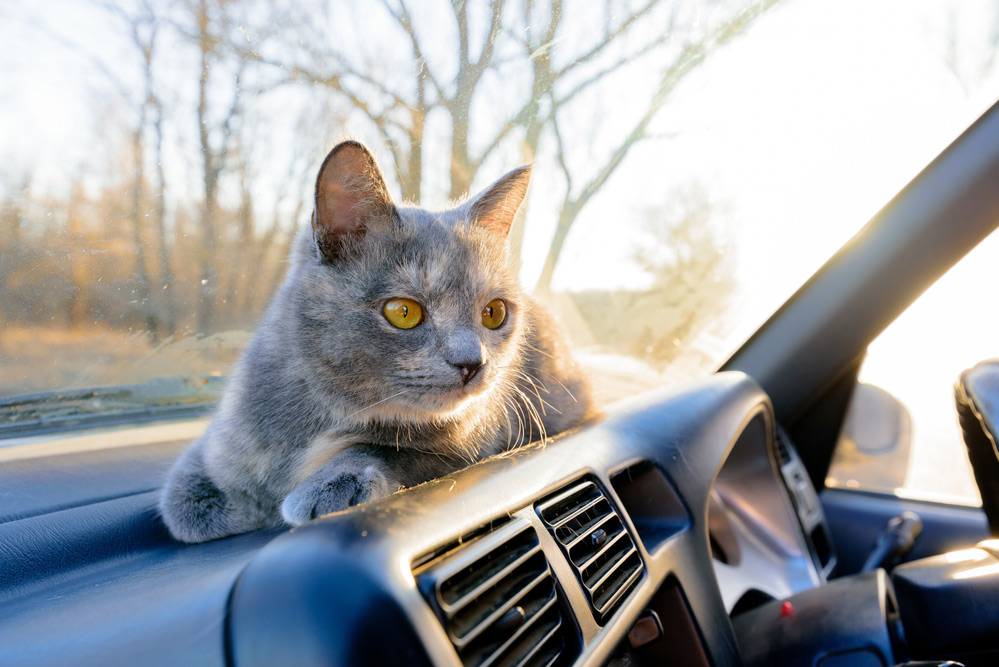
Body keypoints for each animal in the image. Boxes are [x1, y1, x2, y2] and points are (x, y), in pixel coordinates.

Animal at [160, 140, 588, 544]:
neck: (334, 408)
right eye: (403, 312)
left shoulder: (476, 443)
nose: (472, 361)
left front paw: (331, 484)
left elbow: (397, 449)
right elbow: (184, 503)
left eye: (494, 313)